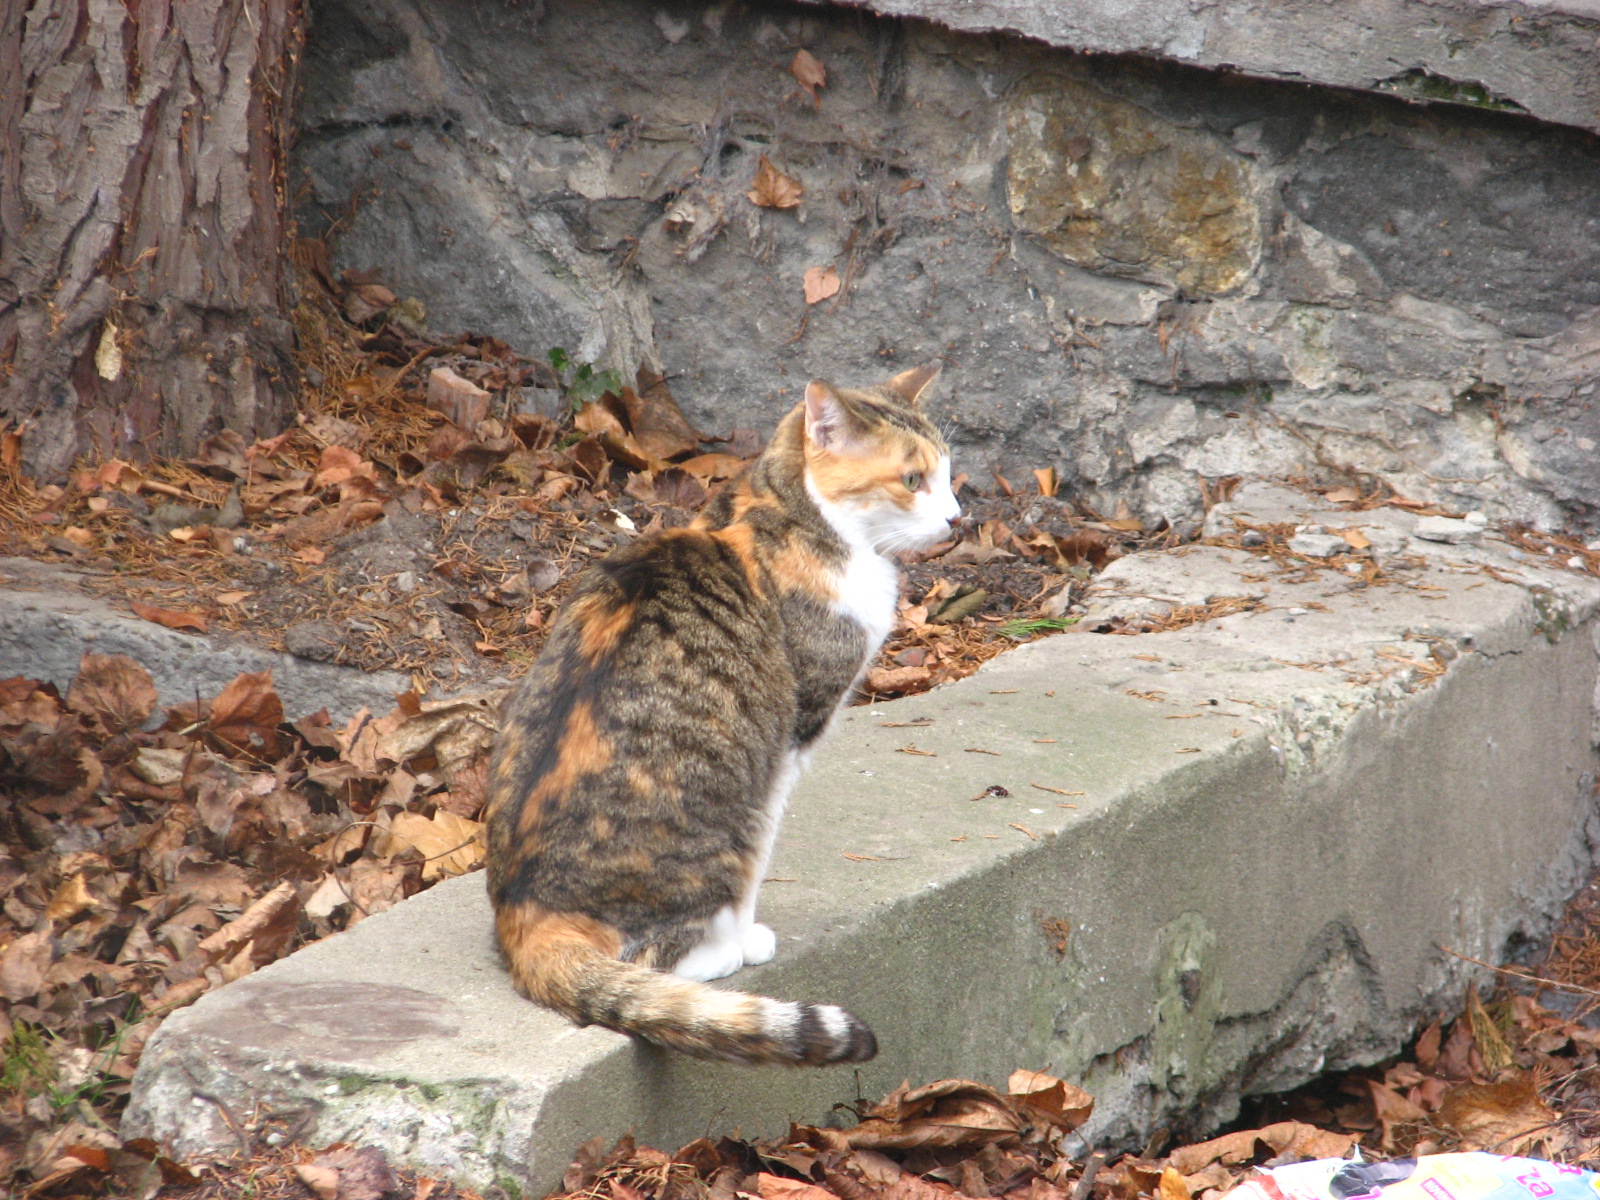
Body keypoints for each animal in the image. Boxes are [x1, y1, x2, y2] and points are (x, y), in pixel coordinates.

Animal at [484, 365, 960, 1065]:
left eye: (949, 473)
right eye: (911, 480)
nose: (957, 517)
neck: (791, 517)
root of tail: (524, 916)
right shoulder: (791, 739)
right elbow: (761, 860)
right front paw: (747, 937)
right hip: (720, 828)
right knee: (654, 959)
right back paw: (722, 955)